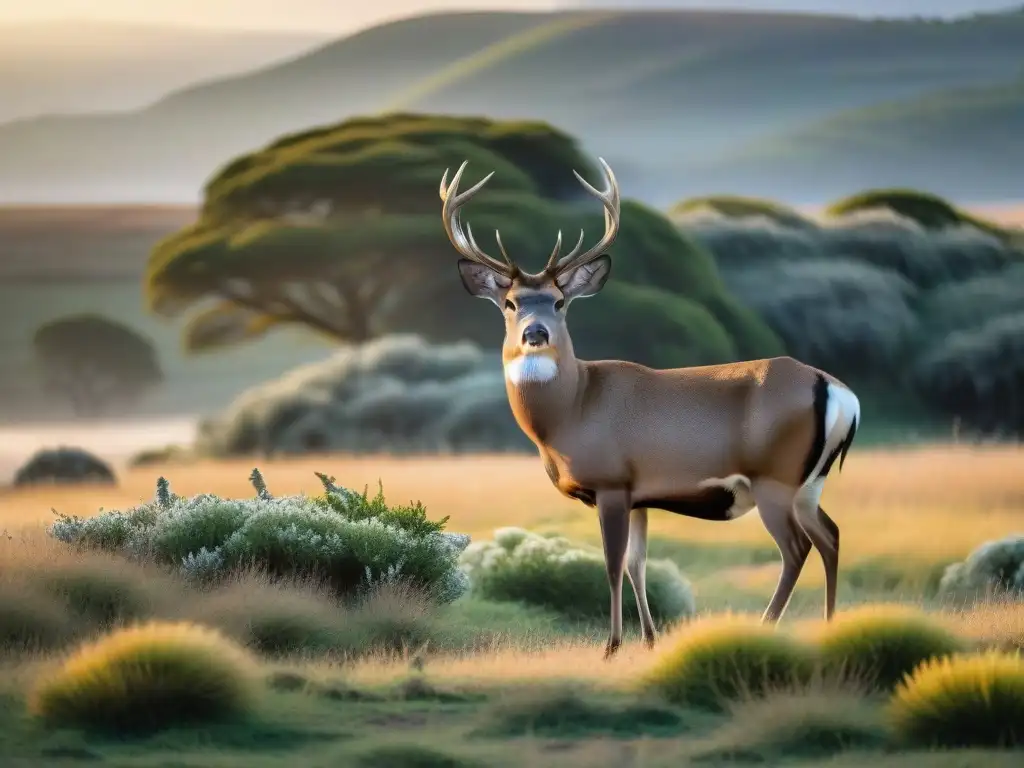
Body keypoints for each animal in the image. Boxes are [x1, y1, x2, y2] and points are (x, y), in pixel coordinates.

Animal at [436, 157, 860, 663]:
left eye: (559, 301)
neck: (570, 411)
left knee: (797, 548)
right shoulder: (640, 495)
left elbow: (612, 564)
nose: (535, 333)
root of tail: (838, 390)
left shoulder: (612, 483)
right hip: (809, 483)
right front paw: (650, 639)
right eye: (509, 302)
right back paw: (830, 626)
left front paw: (611, 646)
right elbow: (638, 565)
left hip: (774, 478)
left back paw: (765, 627)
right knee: (831, 535)